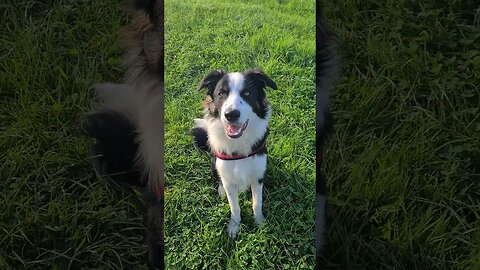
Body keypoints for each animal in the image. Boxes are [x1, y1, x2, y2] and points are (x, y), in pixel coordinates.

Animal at [192, 69, 278, 238]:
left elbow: (257, 203)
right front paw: (234, 226)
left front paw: (259, 222)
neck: (239, 143)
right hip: (214, 163)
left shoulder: (258, 176)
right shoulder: (228, 179)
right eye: (221, 93)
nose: (231, 114)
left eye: (247, 93)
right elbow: (235, 207)